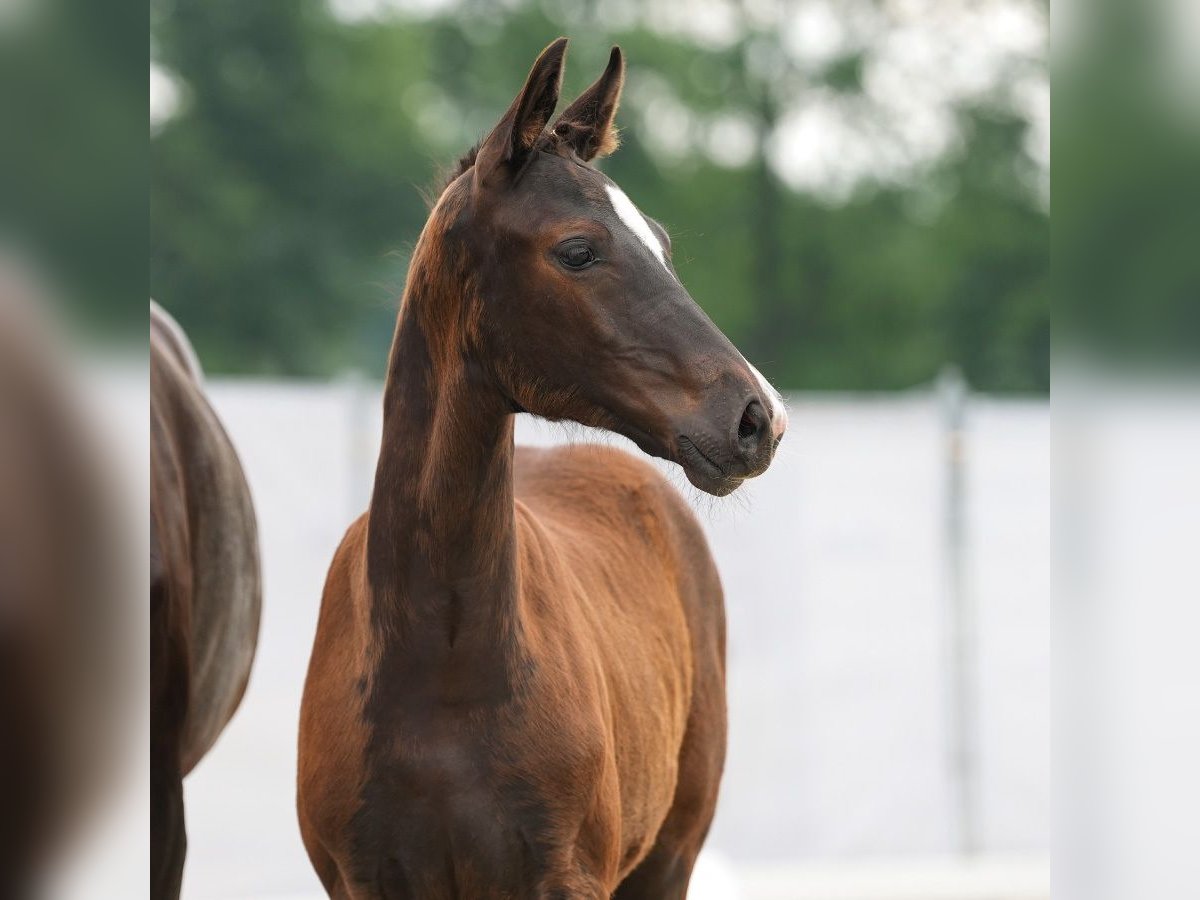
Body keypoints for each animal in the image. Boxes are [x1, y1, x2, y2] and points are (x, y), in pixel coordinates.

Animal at [297, 38, 787, 897]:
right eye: (578, 250)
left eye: (661, 244)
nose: (757, 417)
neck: (439, 667)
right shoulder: (360, 881)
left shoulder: (568, 876)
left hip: (669, 859)